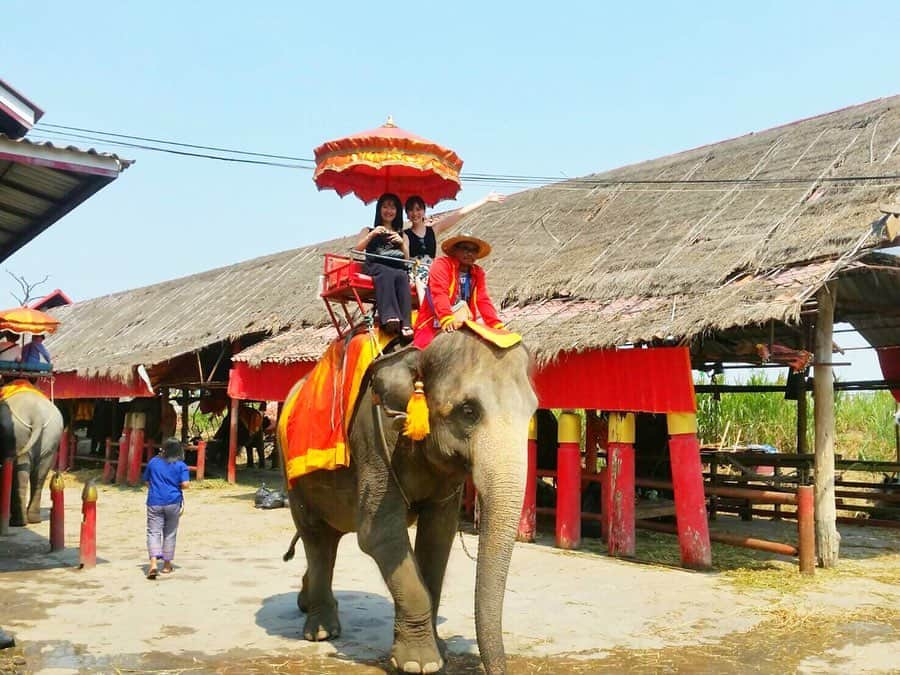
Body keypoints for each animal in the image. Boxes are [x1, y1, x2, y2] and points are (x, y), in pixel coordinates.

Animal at [0, 388, 64, 524]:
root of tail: (37, 415)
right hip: (52, 436)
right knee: (40, 475)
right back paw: (33, 519)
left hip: (19, 434)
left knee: (20, 471)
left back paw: (18, 521)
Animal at [282, 332, 536, 675]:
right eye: (468, 411)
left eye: (532, 412)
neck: (418, 355)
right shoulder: (373, 443)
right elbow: (379, 535)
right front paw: (420, 663)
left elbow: (438, 536)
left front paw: (440, 650)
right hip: (294, 478)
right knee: (316, 537)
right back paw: (321, 631)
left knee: (327, 540)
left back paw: (305, 601)